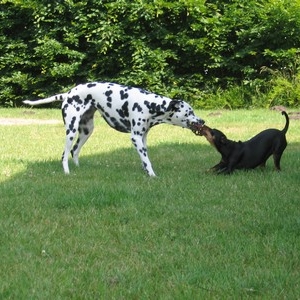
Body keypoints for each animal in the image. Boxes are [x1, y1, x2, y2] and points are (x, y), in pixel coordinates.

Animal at [23, 82, 205, 176]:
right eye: (189, 112)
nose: (202, 121)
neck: (150, 105)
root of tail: (68, 93)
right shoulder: (135, 137)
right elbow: (147, 159)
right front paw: (152, 175)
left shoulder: (143, 137)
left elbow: (144, 157)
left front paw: (145, 170)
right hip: (71, 131)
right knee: (64, 154)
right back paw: (67, 172)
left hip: (86, 131)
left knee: (74, 151)